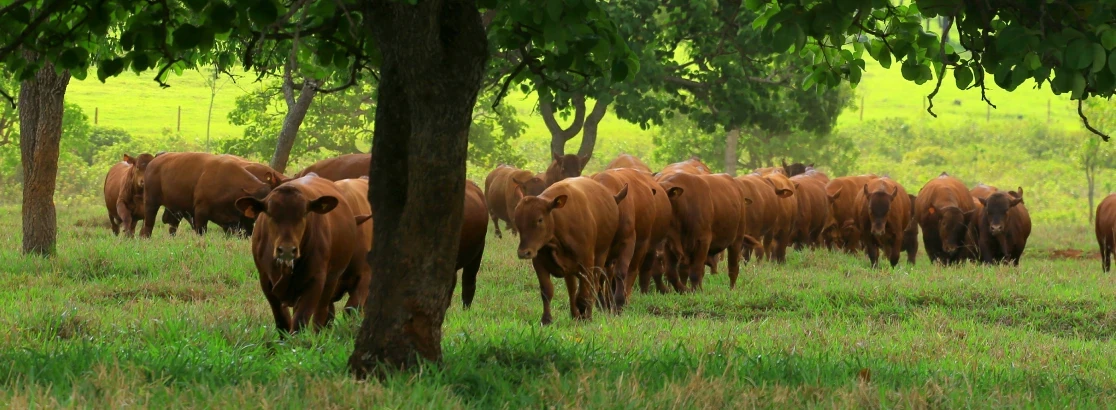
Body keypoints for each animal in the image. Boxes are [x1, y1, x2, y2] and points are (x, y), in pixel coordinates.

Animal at [139, 153, 274, 237]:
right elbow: (201, 231)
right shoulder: (201, 213)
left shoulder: (238, 223)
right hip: (151, 203)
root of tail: (154, 162)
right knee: (149, 224)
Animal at [233, 175, 372, 335]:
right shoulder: (265, 280)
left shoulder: (321, 281)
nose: (287, 250)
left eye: (304, 214)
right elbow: (282, 321)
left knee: (322, 314)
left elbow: (304, 320)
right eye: (270, 214)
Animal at [513, 176, 629, 323]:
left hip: (600, 257)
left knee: (593, 286)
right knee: (572, 290)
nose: (523, 253)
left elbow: (584, 295)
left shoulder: (587, 264)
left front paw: (585, 318)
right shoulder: (539, 262)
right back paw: (575, 314)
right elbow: (547, 291)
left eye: (539, 219)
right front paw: (546, 320)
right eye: (516, 220)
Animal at [593, 167, 669, 306]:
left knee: (633, 270)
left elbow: (621, 272)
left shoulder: (628, 242)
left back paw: (624, 297)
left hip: (642, 246)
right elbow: (599, 275)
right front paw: (601, 303)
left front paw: (619, 301)